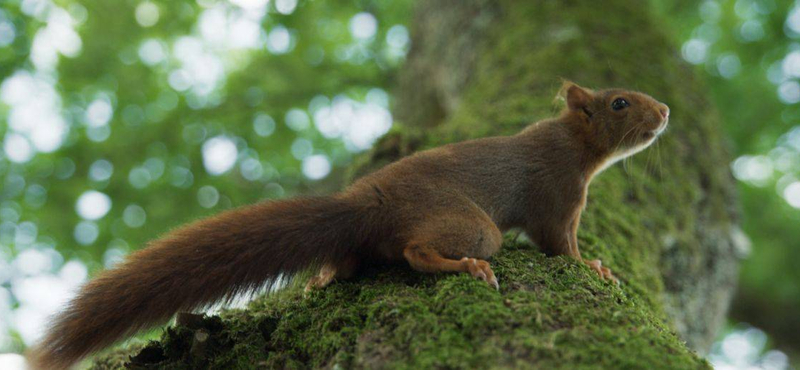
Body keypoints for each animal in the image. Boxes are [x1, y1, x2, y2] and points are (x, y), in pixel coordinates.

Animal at [28, 82, 668, 368]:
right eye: (618, 103)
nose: (664, 112)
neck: (573, 143)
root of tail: (366, 204)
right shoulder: (559, 195)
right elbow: (561, 246)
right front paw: (596, 267)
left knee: (358, 258)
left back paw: (325, 275)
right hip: (470, 223)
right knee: (415, 253)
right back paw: (467, 265)